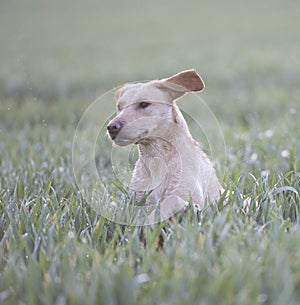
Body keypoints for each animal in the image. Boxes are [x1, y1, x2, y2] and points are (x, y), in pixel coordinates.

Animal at [107, 70, 223, 220]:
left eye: (144, 104)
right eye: (119, 107)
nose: (111, 127)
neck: (157, 158)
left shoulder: (188, 195)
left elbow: (171, 201)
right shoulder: (135, 204)